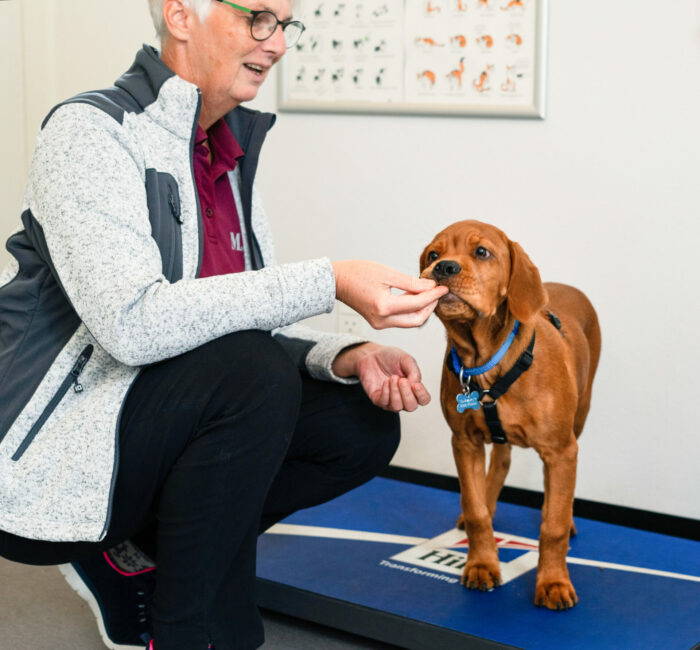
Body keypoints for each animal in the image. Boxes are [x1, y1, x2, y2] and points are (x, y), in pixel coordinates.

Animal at [418, 220, 600, 612]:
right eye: (433, 254)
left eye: (482, 252)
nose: (443, 268)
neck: (487, 364)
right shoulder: (464, 442)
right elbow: (475, 511)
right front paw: (482, 565)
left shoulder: (561, 450)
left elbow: (553, 526)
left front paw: (553, 583)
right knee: (500, 462)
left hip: (579, 417)